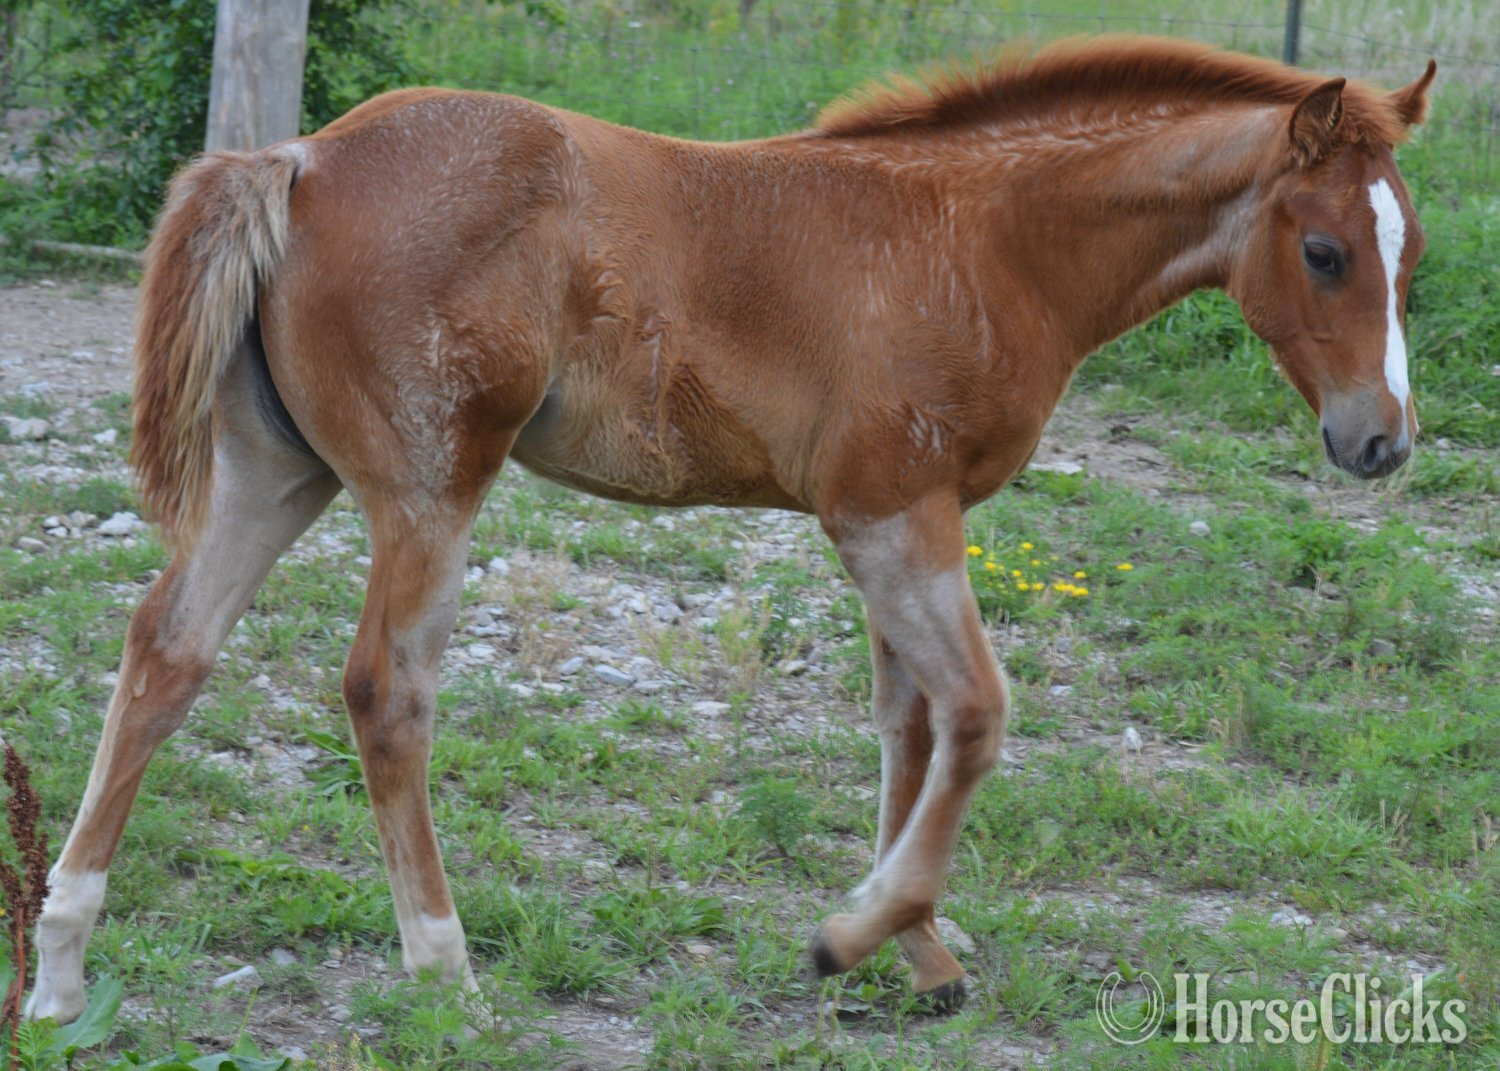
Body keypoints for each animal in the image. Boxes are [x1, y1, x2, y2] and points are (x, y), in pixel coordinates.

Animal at [27, 36, 1435, 1022]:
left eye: (1408, 257)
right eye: (1322, 250)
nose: (1381, 442)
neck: (981, 240)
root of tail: (296, 158)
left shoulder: (895, 521)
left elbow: (909, 723)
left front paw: (917, 952)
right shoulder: (891, 516)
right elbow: (976, 716)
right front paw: (856, 937)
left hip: (277, 474)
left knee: (166, 653)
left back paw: (57, 966)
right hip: (430, 487)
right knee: (386, 690)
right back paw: (444, 968)